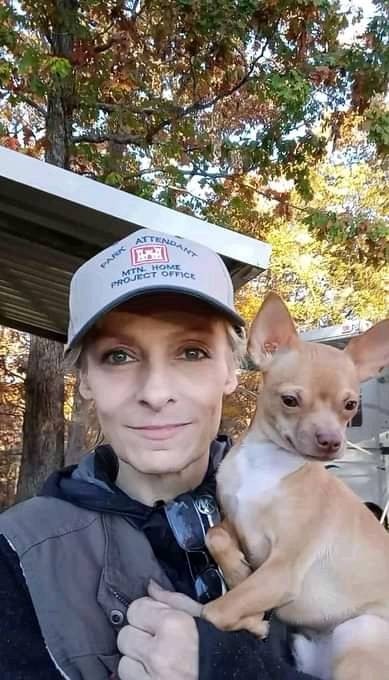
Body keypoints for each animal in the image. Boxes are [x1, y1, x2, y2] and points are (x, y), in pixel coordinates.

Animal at [202, 294, 388, 680]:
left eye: (351, 405)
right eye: (290, 400)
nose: (331, 441)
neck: (267, 464)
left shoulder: (283, 571)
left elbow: (214, 611)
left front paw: (253, 622)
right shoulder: (235, 520)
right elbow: (215, 536)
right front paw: (237, 571)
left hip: (360, 630)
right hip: (306, 648)